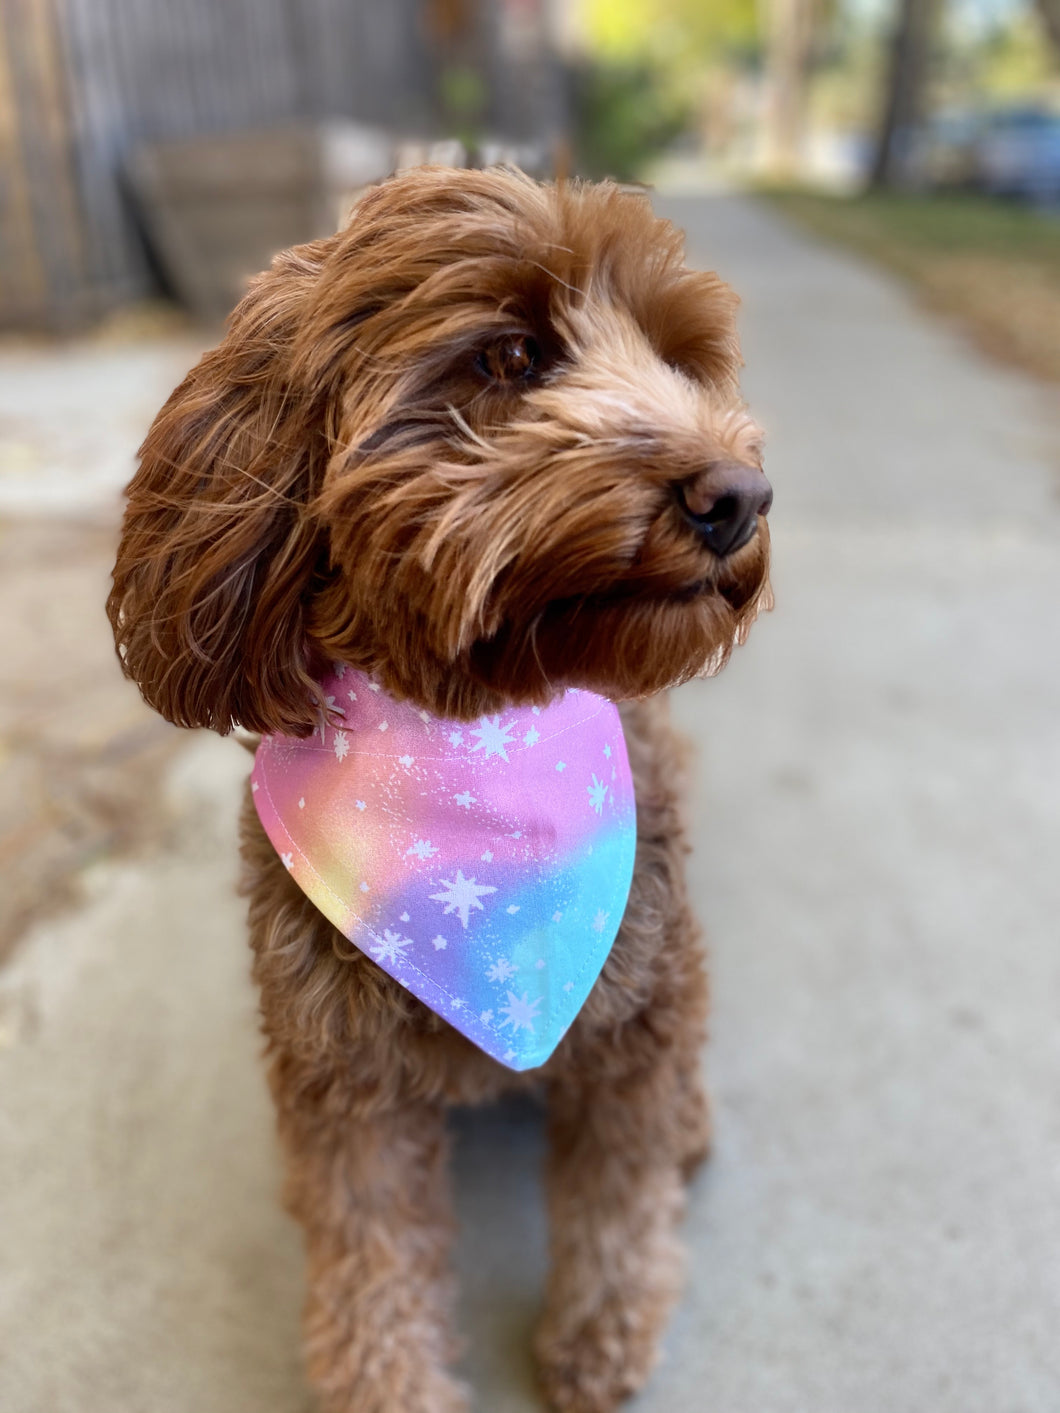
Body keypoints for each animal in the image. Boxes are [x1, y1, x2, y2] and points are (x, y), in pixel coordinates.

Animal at [106, 168, 774, 1413]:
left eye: (680, 360)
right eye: (511, 357)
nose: (740, 496)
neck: (470, 747)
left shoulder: (637, 1015)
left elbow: (618, 1193)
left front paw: (602, 1331)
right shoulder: (339, 1069)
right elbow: (368, 1244)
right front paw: (386, 1382)